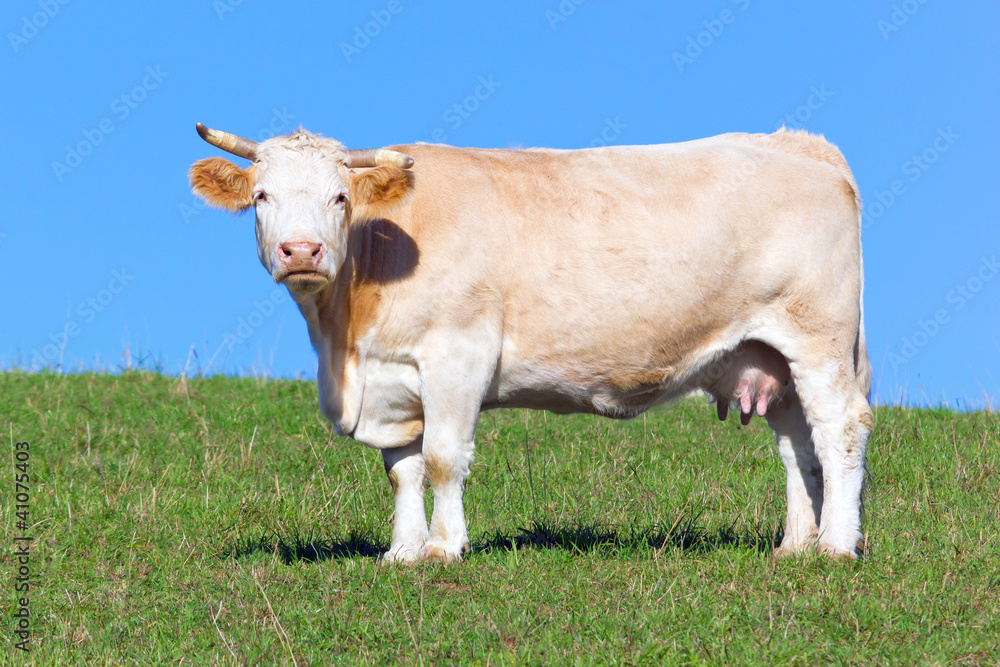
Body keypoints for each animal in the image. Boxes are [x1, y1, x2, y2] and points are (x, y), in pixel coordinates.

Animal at [189, 123, 873, 563]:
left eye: (338, 198)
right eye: (261, 196)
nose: (301, 251)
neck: (347, 343)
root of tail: (797, 143)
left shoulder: (457, 354)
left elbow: (442, 457)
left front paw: (443, 549)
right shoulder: (394, 379)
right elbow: (403, 469)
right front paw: (402, 551)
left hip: (818, 337)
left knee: (840, 428)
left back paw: (837, 547)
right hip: (769, 355)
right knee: (797, 444)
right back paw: (795, 545)